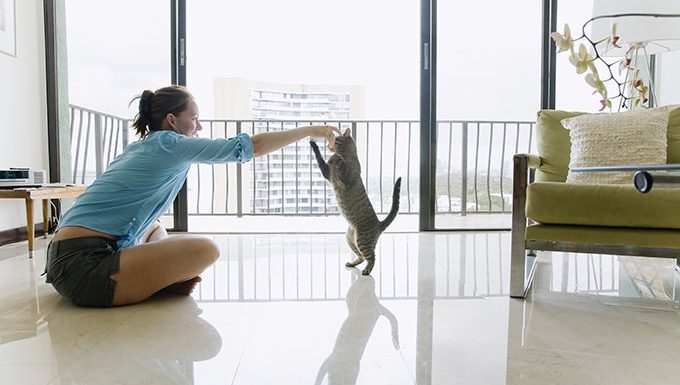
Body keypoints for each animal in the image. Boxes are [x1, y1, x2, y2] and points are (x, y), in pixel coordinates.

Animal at [310, 127, 402, 274]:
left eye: (335, 139)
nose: (328, 144)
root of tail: (379, 223)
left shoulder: (346, 176)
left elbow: (338, 161)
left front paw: (336, 155)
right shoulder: (327, 172)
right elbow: (320, 158)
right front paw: (315, 145)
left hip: (362, 240)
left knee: (371, 258)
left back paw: (367, 270)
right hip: (350, 238)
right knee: (361, 257)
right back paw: (352, 264)